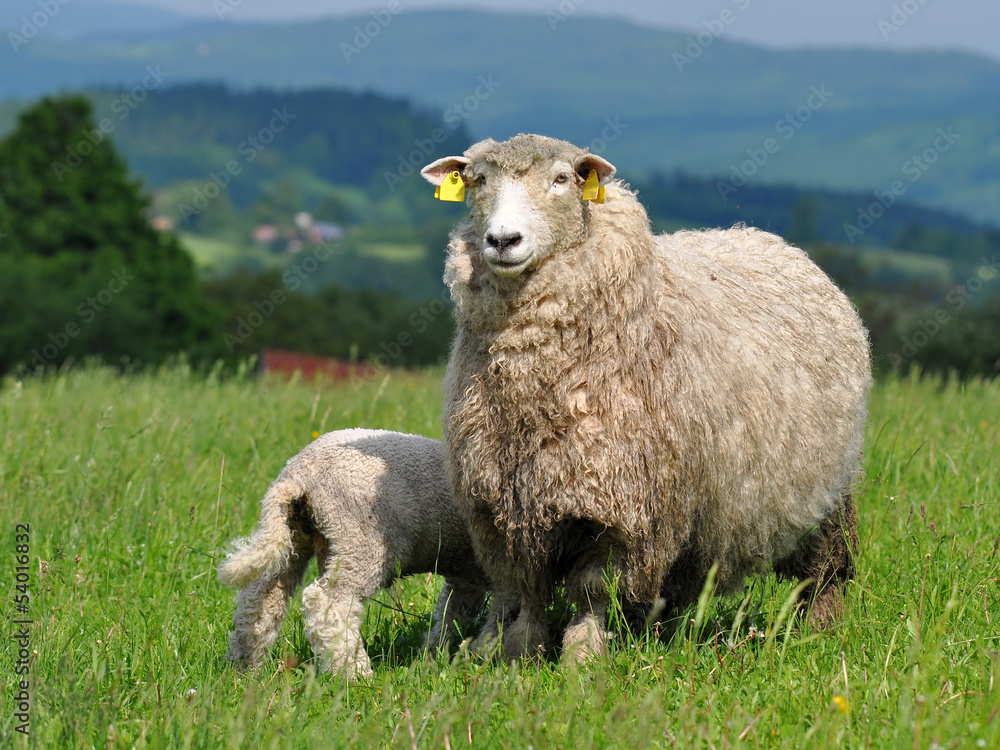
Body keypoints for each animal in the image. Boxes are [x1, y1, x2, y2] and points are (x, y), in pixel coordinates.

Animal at [218, 429, 487, 679]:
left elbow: (453, 612)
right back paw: (354, 673)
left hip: (294, 536)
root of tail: (296, 474)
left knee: (259, 599)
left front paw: (436, 652)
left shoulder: (468, 575)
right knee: (329, 601)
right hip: (360, 540)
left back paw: (246, 665)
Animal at [421, 134, 871, 663]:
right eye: (477, 180)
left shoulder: (626, 506)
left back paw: (820, 629)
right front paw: (516, 654)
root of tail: (773, 242)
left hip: (825, 490)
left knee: (826, 569)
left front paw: (581, 656)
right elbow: (522, 591)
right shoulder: (497, 505)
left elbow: (594, 591)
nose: (503, 241)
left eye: (561, 178)